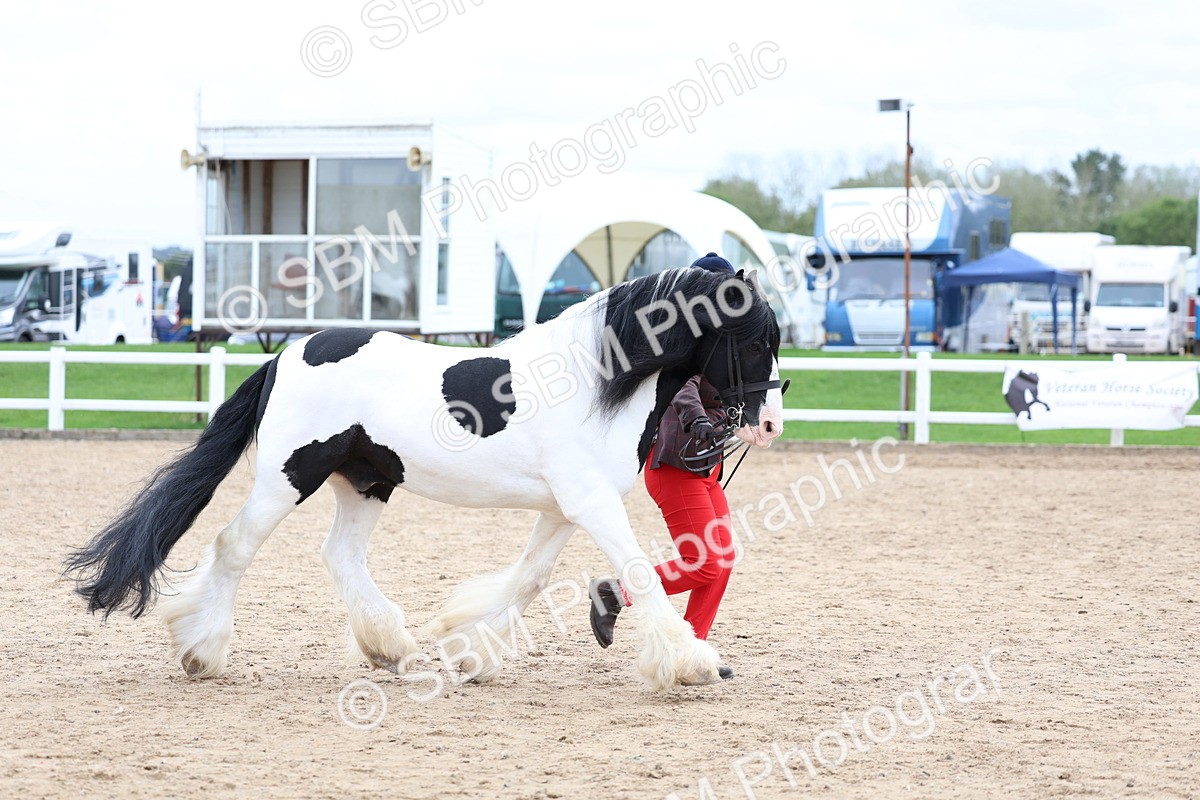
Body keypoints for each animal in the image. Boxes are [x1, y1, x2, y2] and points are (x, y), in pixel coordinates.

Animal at [64, 266, 785, 690]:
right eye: (754, 340)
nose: (770, 422)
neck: (595, 381)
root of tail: (288, 352)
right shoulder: (591, 504)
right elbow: (636, 570)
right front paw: (691, 662)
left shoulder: (563, 508)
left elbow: (530, 578)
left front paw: (470, 649)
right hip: (289, 475)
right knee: (233, 546)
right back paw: (202, 652)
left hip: (365, 481)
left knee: (341, 557)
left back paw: (390, 648)